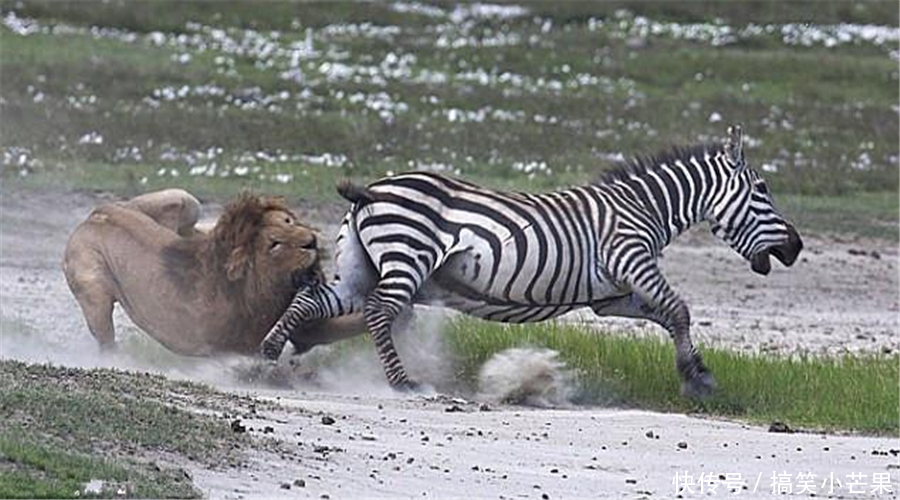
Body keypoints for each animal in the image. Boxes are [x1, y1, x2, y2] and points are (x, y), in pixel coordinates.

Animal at [62, 188, 366, 356]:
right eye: (275, 244)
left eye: (289, 221)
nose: (311, 241)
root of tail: (97, 214)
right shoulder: (241, 343)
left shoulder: (304, 327)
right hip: (93, 287)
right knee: (105, 335)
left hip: (184, 201)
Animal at [258, 126, 800, 398]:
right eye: (762, 190)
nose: (795, 248)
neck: (644, 208)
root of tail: (372, 190)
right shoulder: (631, 259)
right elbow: (680, 309)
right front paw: (696, 377)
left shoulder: (612, 296)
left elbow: (668, 317)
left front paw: (696, 372)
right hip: (406, 258)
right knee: (377, 312)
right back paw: (403, 383)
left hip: (360, 268)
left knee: (313, 300)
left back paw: (268, 353)